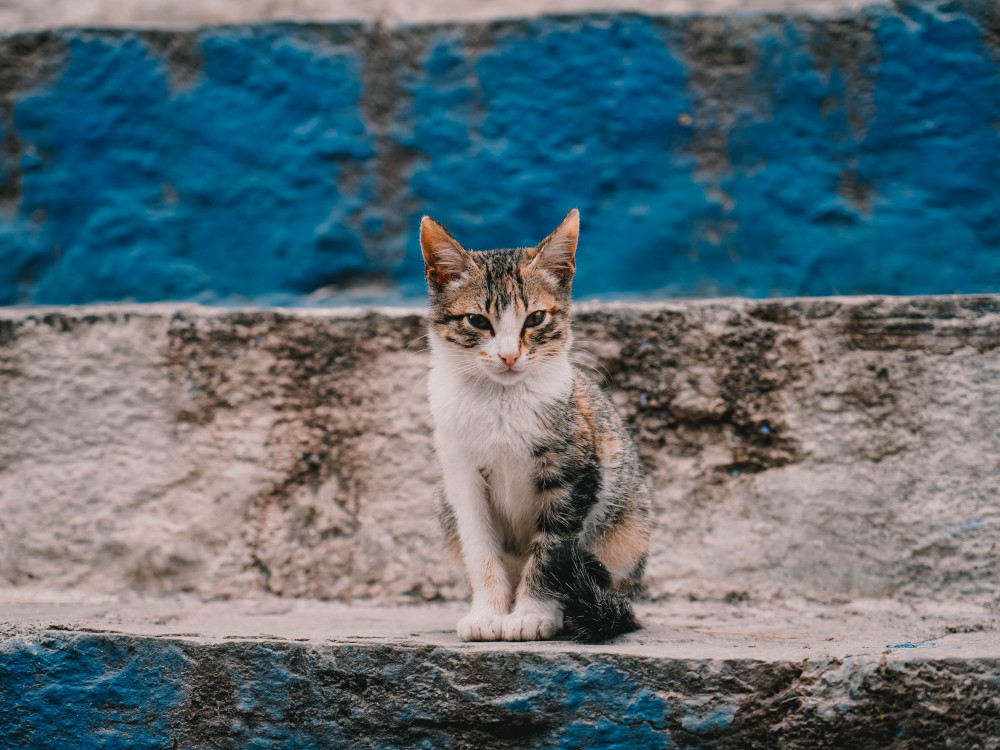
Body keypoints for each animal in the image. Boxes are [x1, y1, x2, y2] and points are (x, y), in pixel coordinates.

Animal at [418, 209, 652, 644]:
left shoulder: (574, 472)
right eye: (477, 321)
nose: (510, 356)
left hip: (629, 526)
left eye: (536, 318)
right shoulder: (461, 474)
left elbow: (552, 550)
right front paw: (488, 613)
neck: (501, 400)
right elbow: (480, 547)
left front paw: (532, 614)